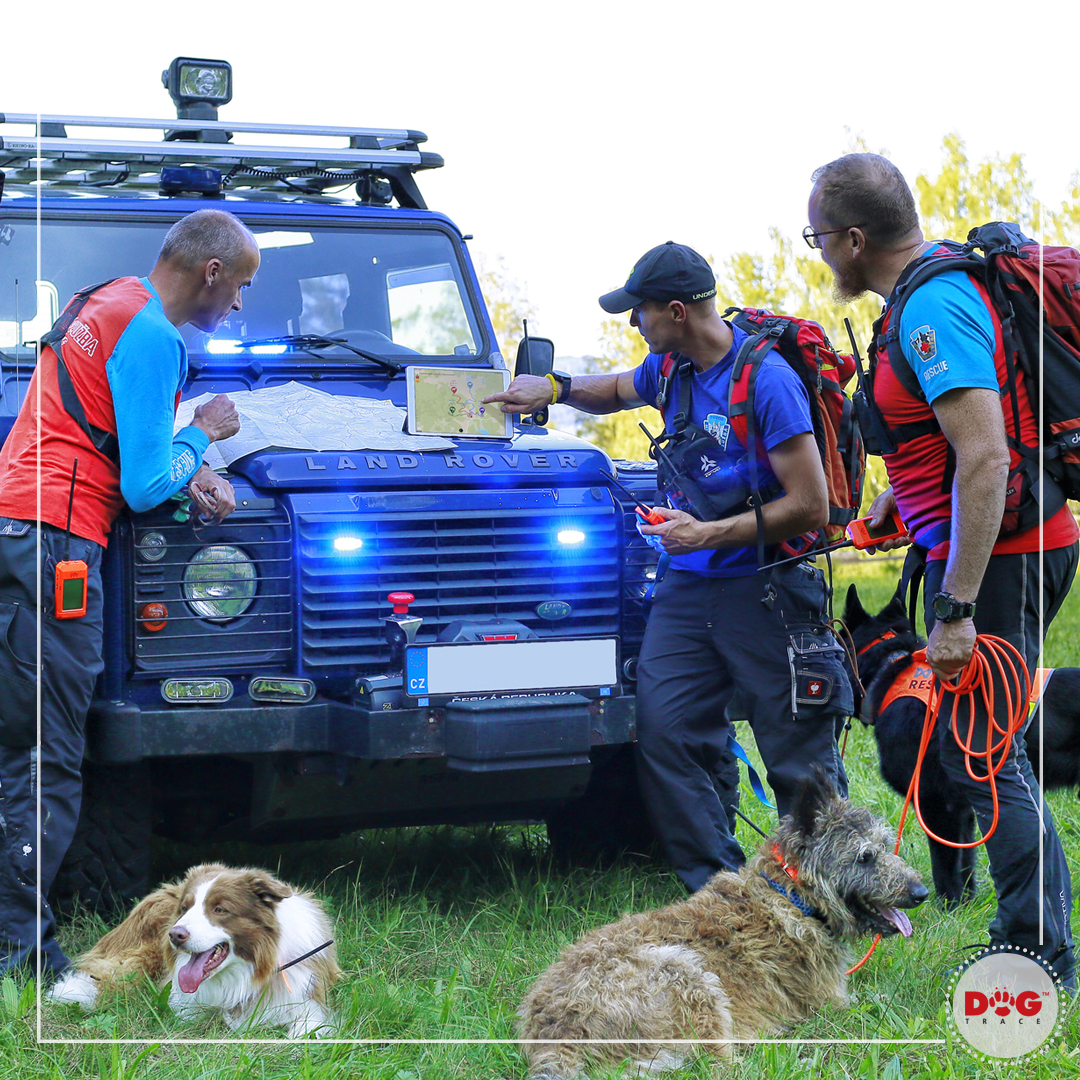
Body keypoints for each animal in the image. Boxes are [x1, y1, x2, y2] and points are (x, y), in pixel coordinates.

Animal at [47, 859, 336, 1036]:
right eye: (185, 908)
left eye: (220, 909)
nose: (175, 935)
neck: (248, 970)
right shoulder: (184, 1003)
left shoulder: (307, 999)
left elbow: (305, 1030)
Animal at [518, 773, 924, 1075]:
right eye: (865, 857)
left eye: (886, 845)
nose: (921, 892)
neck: (793, 894)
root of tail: (555, 1039)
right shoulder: (831, 1002)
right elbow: (872, 1002)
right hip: (688, 975)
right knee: (717, 1065)